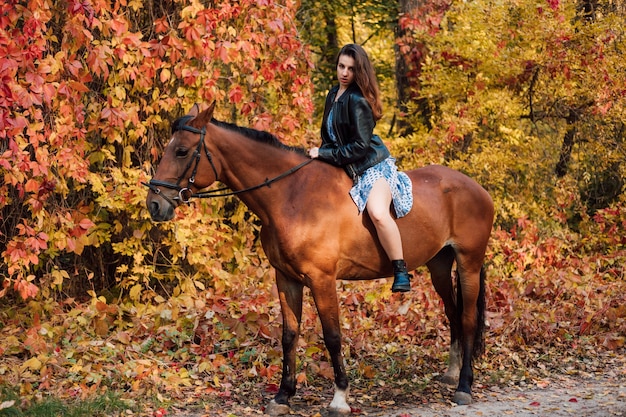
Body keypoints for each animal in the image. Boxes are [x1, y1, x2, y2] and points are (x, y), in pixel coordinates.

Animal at [145, 102, 492, 414]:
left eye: (182, 151)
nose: (155, 205)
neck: (289, 195)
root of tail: (476, 188)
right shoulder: (286, 278)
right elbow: (289, 335)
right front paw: (283, 396)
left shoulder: (322, 279)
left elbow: (333, 336)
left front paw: (339, 398)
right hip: (440, 265)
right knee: (452, 313)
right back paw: (451, 375)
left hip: (468, 263)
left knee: (467, 317)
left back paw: (464, 386)